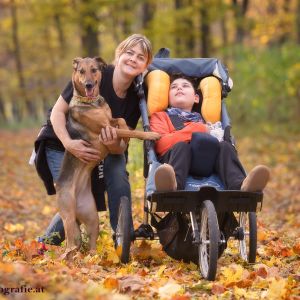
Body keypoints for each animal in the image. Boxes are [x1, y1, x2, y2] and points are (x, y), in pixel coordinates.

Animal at [56, 56, 159, 258]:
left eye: (94, 69)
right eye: (81, 71)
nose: (88, 84)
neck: (92, 102)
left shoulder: (110, 122)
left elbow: (122, 121)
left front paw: (127, 135)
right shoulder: (106, 128)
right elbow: (132, 131)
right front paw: (150, 134)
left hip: (92, 217)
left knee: (89, 244)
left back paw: (94, 257)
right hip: (69, 218)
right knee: (70, 246)